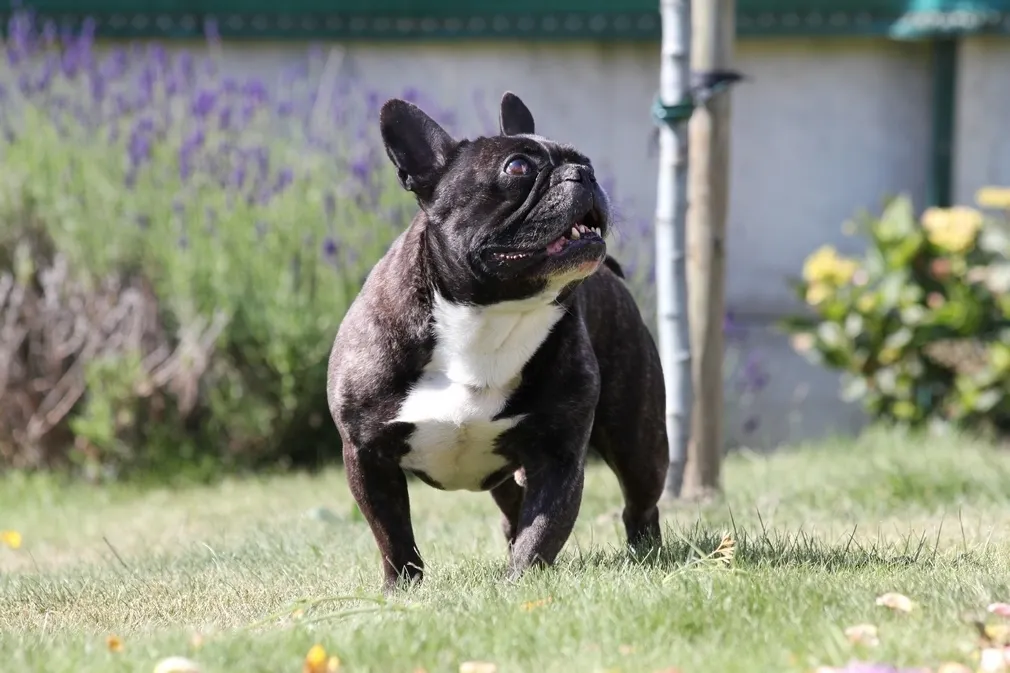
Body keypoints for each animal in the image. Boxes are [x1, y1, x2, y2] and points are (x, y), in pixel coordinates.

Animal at [326, 91, 669, 591]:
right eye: (517, 167)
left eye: (584, 159)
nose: (584, 173)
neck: (490, 316)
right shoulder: (367, 454)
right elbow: (391, 531)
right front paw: (401, 588)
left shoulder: (558, 456)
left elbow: (543, 528)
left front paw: (520, 585)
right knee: (512, 513)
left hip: (636, 438)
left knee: (639, 502)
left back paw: (648, 554)